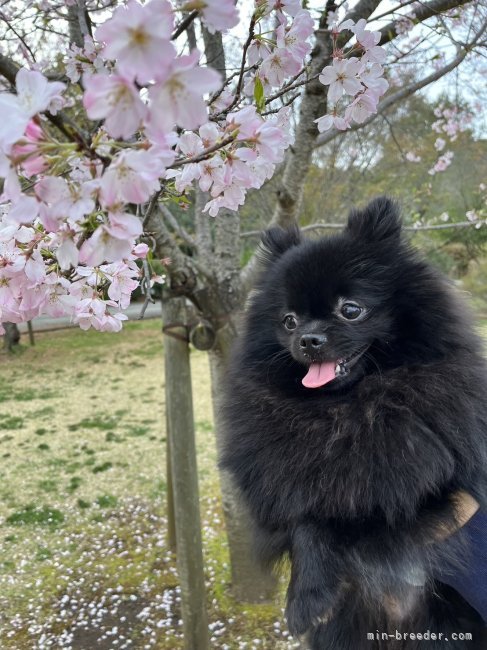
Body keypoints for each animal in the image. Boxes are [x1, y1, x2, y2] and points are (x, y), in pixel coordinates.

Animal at [222, 197, 487, 648]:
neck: (343, 409)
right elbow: (306, 517)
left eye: (350, 310)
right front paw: (307, 597)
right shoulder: (279, 489)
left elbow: (354, 509)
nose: (308, 339)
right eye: (289, 320)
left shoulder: (427, 481)